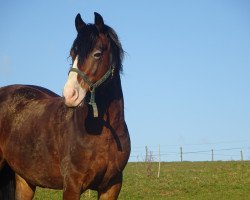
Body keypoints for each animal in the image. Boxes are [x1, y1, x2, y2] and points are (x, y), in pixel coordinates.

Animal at [0, 12, 130, 198]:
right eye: (72, 54)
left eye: (97, 54)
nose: (69, 94)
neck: (104, 135)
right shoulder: (72, 185)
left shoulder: (112, 186)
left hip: (25, 180)